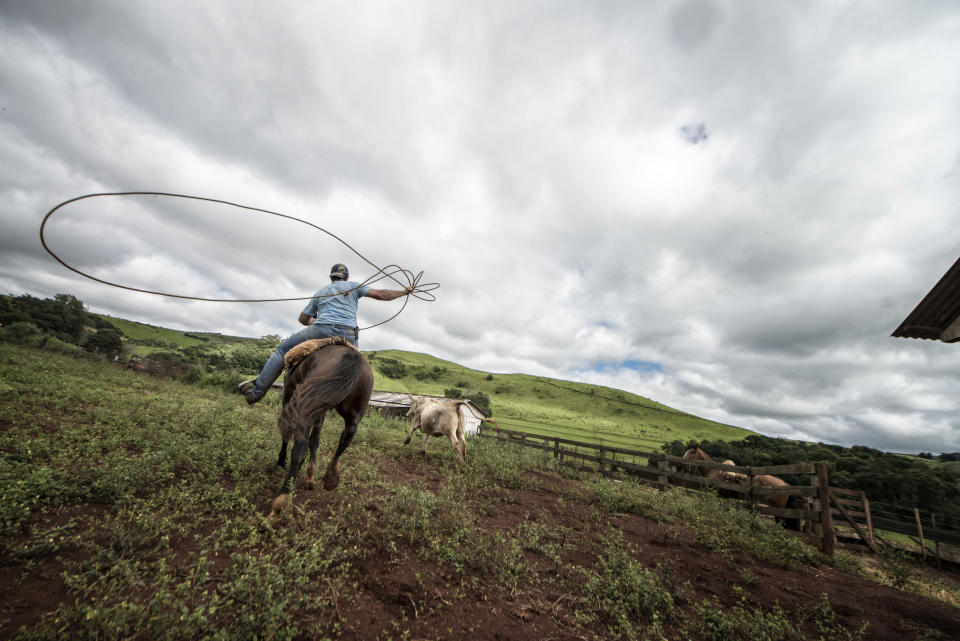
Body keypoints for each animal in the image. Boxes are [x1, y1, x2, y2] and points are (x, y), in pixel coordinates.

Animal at [274, 340, 376, 520]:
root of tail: (353, 356)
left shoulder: (289, 395)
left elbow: (289, 435)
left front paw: (281, 460)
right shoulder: (320, 410)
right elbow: (315, 440)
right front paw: (310, 478)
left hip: (305, 405)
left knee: (299, 448)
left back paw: (281, 499)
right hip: (349, 412)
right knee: (347, 435)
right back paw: (330, 477)